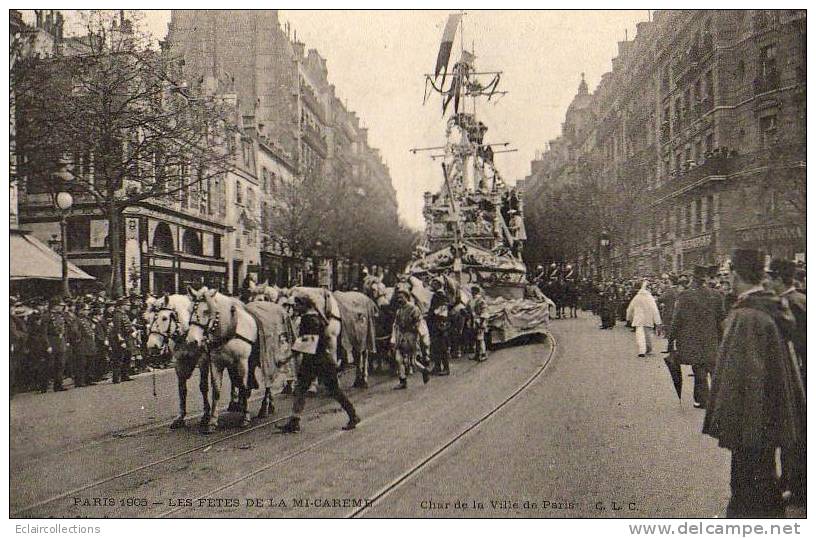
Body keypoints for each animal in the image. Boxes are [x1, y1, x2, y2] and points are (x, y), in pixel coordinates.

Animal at [185, 286, 274, 434]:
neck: (230, 329)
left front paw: (245, 417)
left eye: (206, 311)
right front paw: (212, 421)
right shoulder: (215, 363)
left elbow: (243, 387)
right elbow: (216, 391)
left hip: (267, 358)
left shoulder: (242, 362)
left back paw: (264, 408)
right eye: (190, 310)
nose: (192, 341)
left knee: (268, 381)